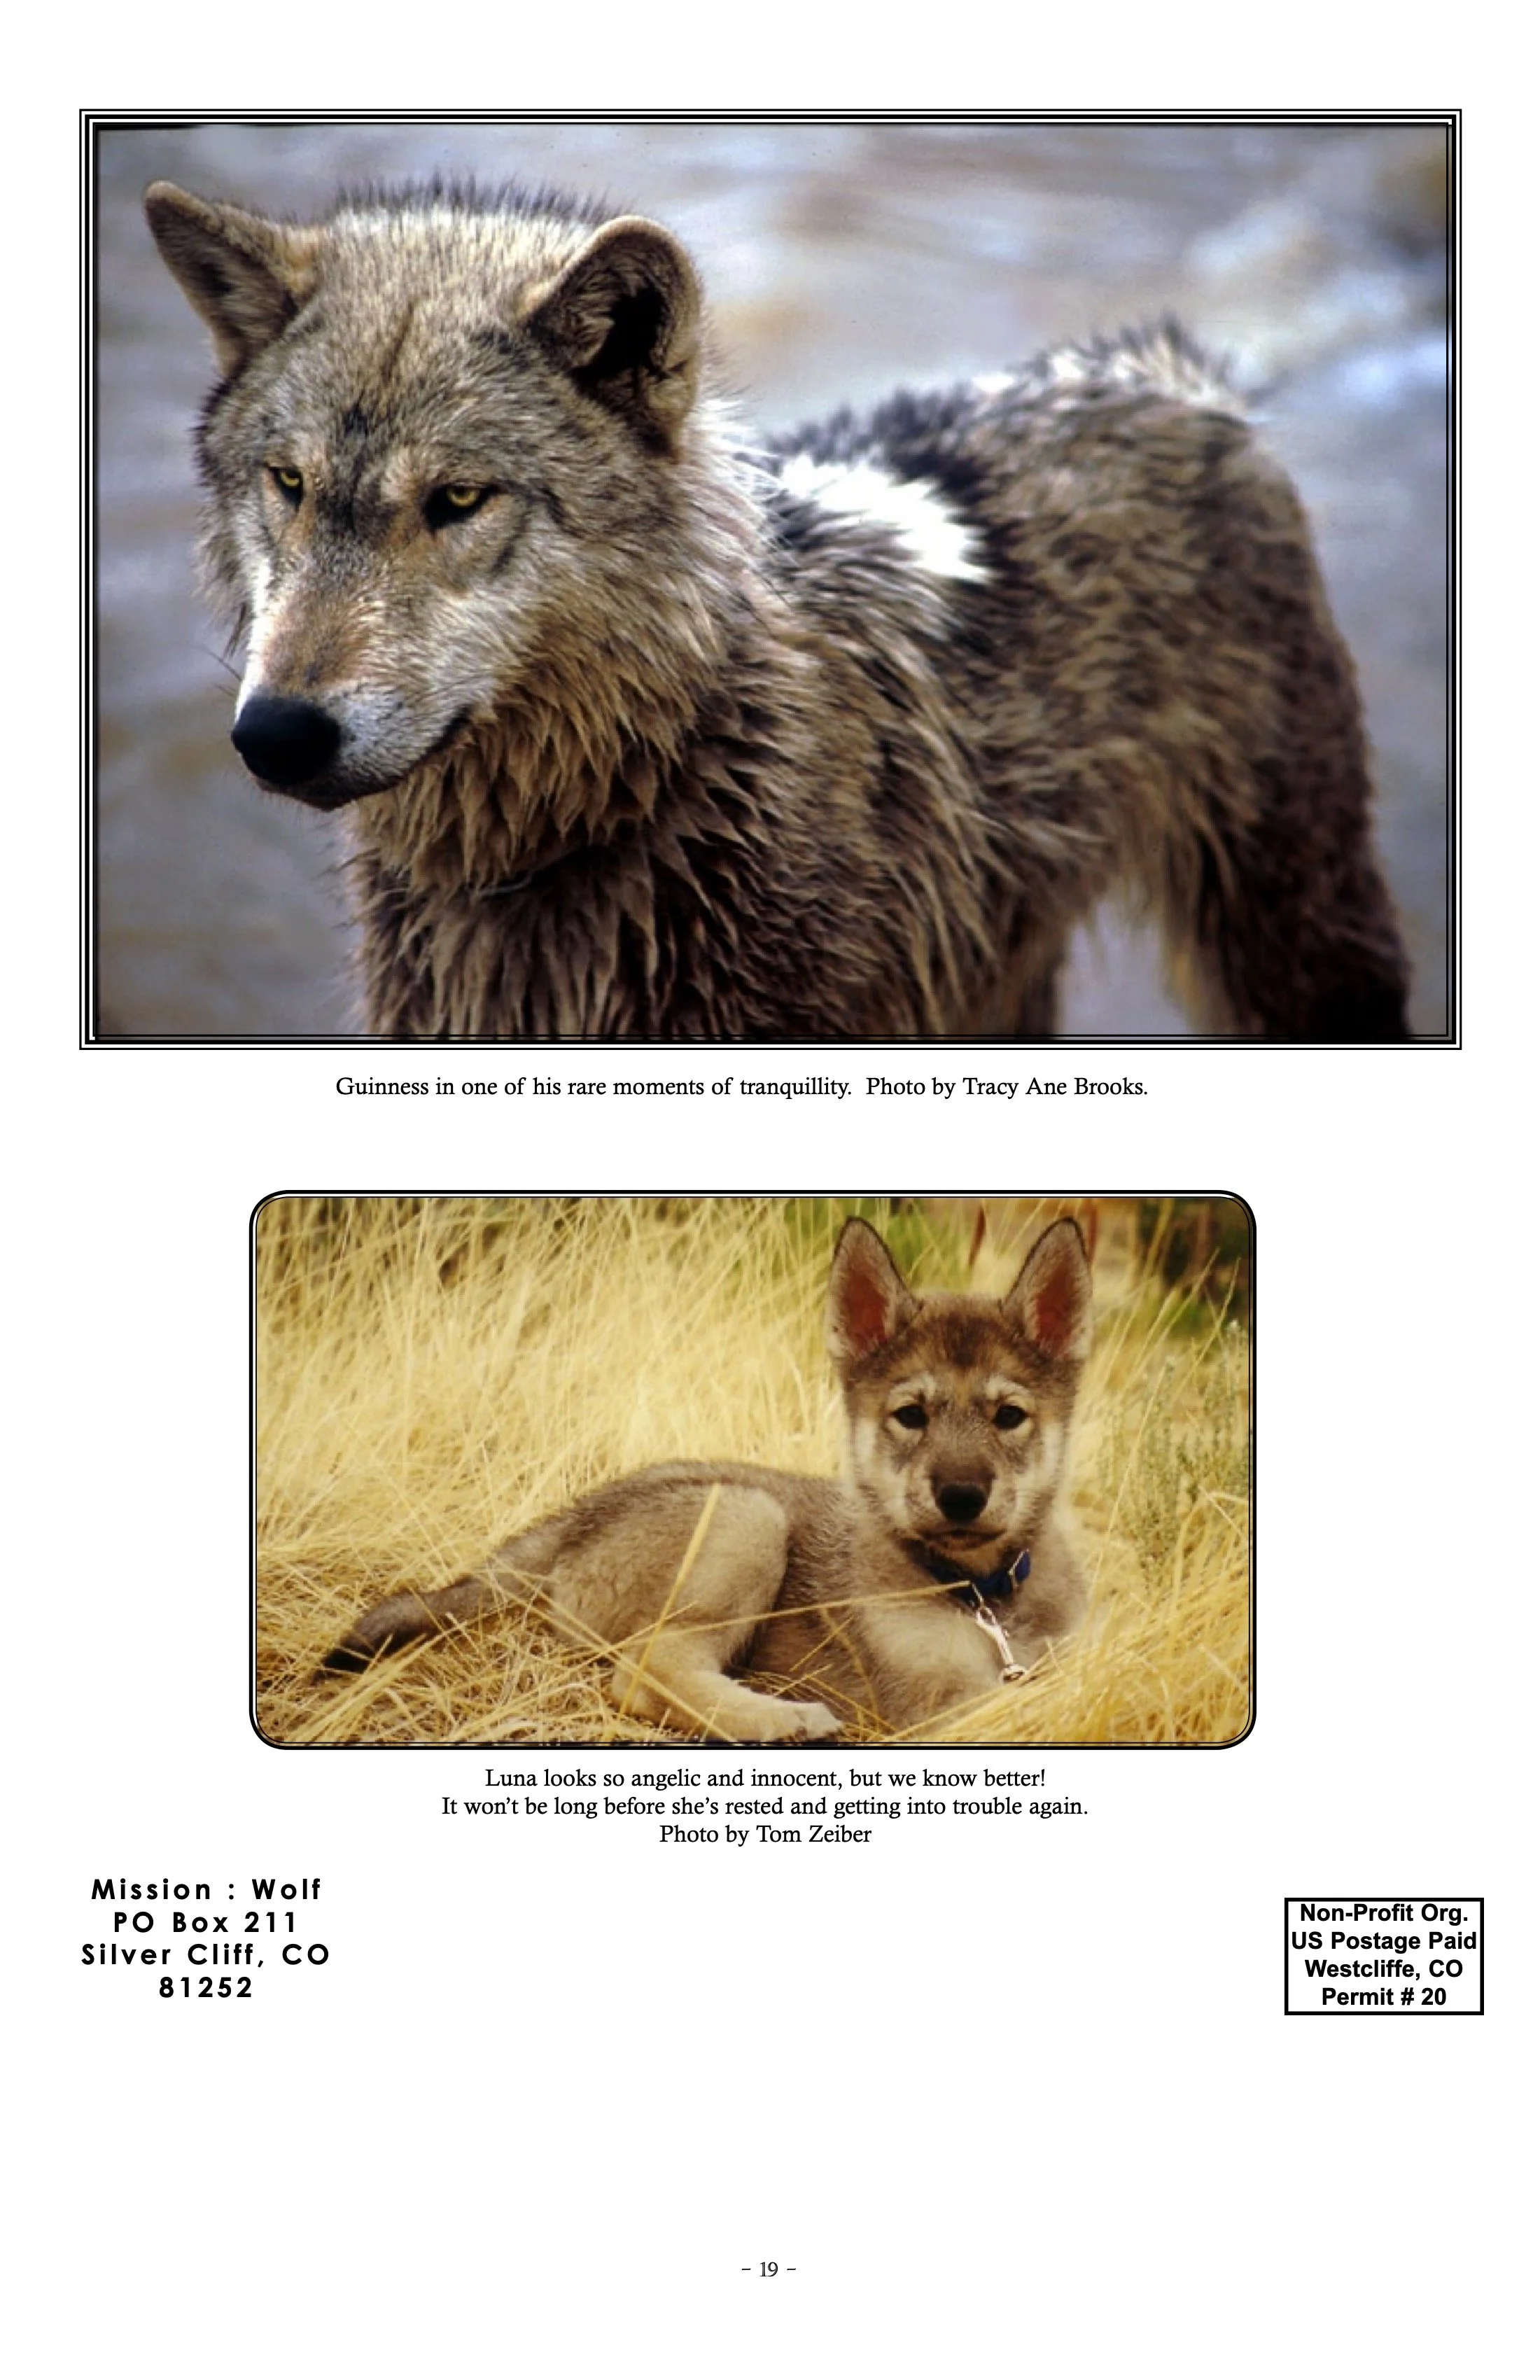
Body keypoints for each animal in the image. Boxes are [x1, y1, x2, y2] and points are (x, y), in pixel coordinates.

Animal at [320, 1215, 1094, 1741]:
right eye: (910, 1415)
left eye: (1009, 1416)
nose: (960, 1496)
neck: (985, 1596)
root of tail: (569, 1524)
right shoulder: (938, 1703)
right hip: (747, 1517)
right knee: (645, 1670)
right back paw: (782, 1721)